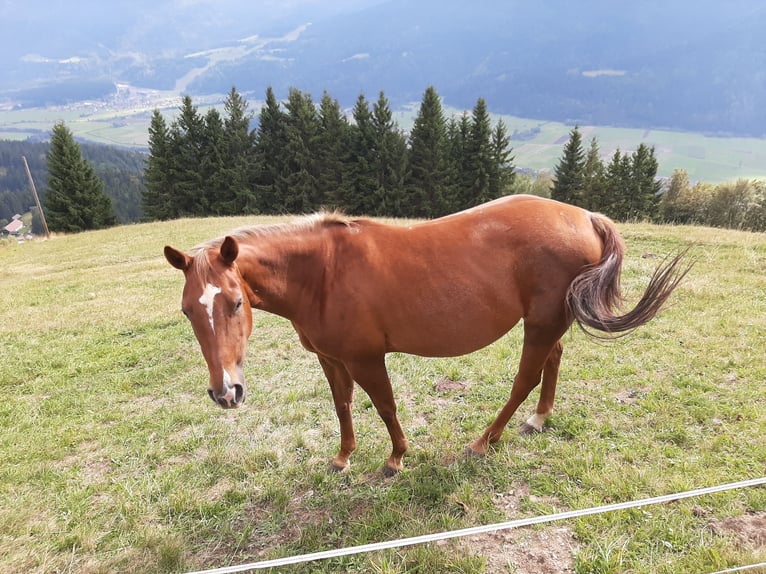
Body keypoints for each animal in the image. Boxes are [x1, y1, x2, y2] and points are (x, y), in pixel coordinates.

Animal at [165, 197, 692, 476]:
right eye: (188, 310)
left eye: (235, 302)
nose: (226, 393)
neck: (322, 272)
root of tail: (584, 216)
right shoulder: (331, 359)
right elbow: (342, 405)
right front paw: (343, 457)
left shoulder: (365, 358)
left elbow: (385, 406)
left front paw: (396, 458)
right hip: (549, 323)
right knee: (554, 359)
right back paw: (539, 419)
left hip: (539, 324)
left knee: (524, 378)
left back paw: (484, 442)